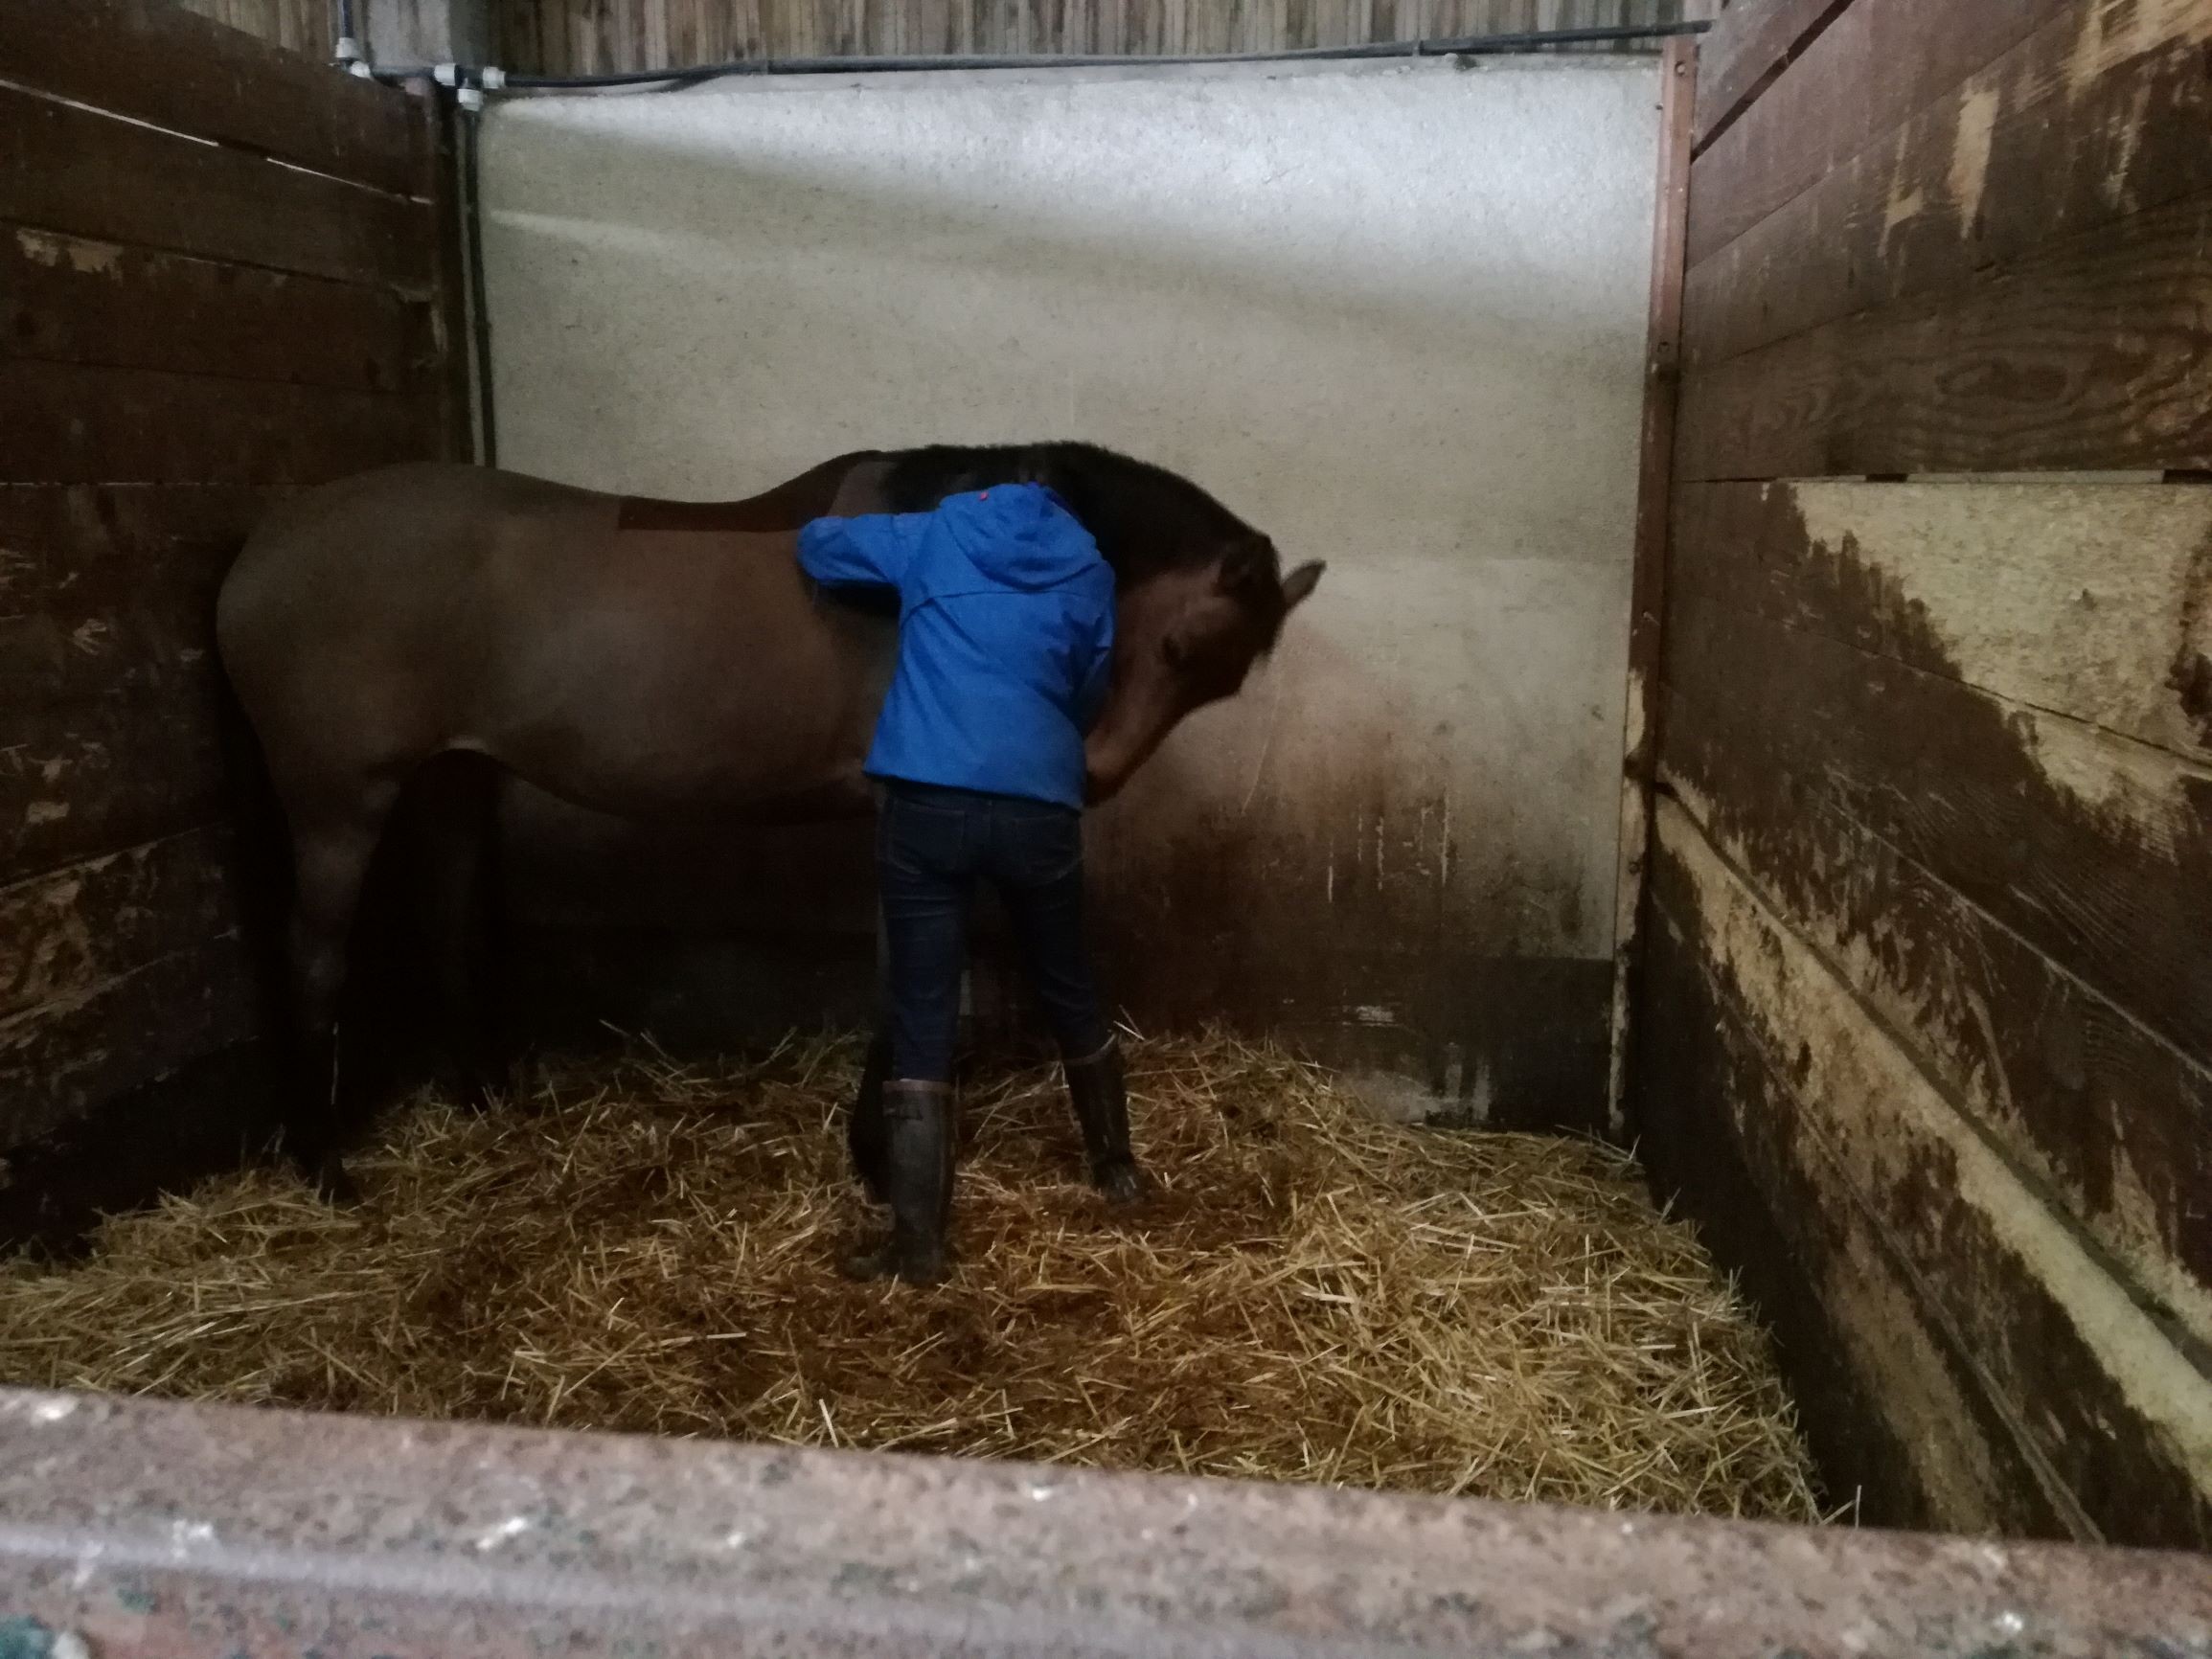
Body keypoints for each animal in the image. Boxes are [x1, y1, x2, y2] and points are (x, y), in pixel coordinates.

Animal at [219, 442, 1327, 1194]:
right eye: (1179, 648)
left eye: (1220, 683)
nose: (1093, 773)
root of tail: (257, 552)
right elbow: (906, 984)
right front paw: (877, 1158)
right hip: (339, 805)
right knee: (311, 957)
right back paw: (324, 1168)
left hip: (450, 782)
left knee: (446, 927)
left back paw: (481, 1099)